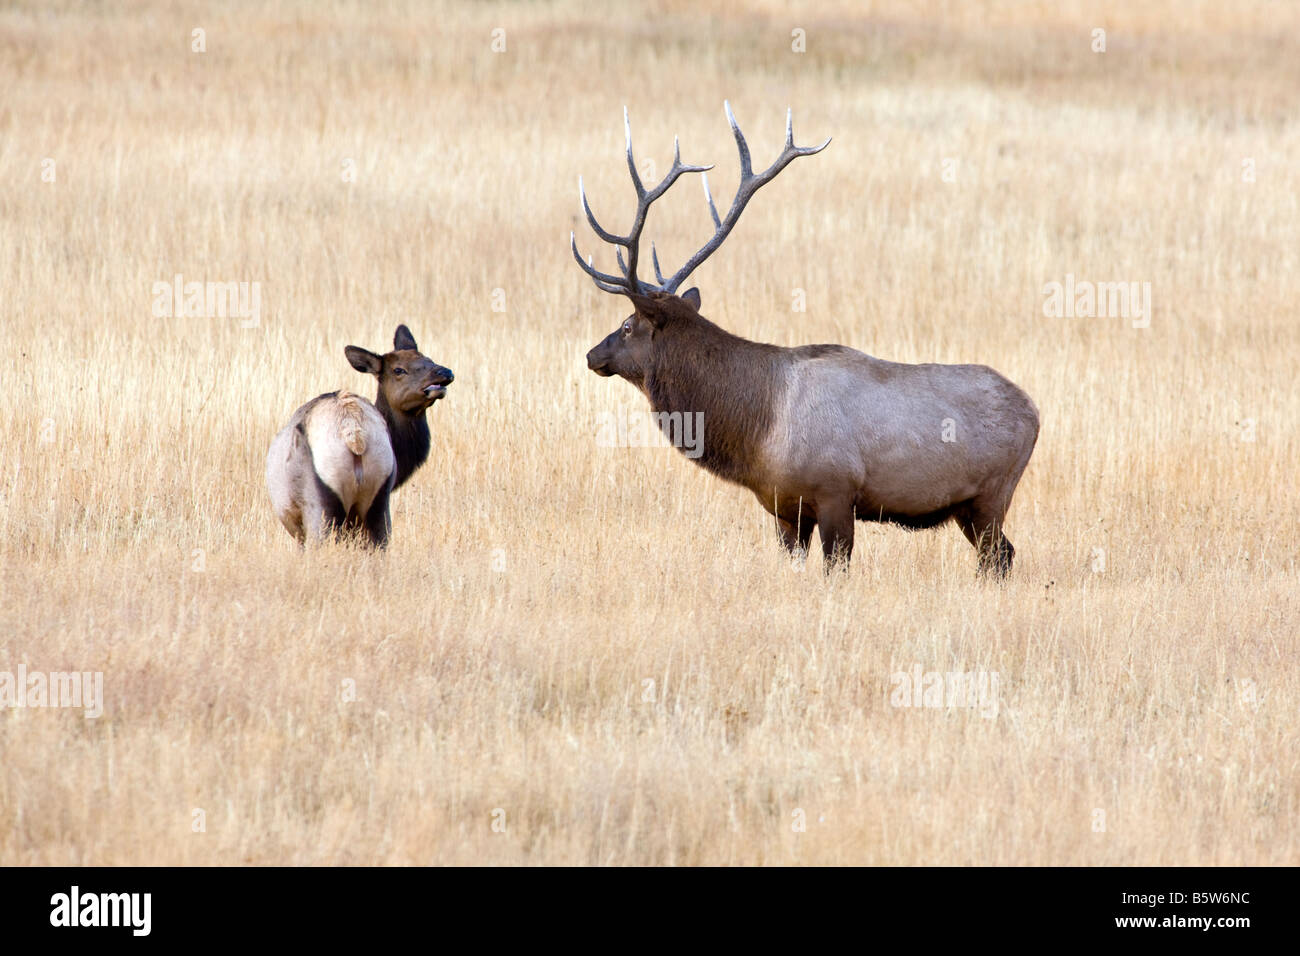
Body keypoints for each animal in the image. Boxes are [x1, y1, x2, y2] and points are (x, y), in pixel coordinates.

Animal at [263, 325, 452, 546]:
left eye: (428, 359)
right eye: (398, 369)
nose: (444, 372)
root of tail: (353, 431)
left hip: (321, 505)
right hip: (378, 495)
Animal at [574, 108, 1040, 580]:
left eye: (627, 325)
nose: (593, 355)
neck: (757, 431)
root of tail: (1034, 412)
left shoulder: (836, 491)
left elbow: (837, 567)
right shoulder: (784, 509)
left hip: (991, 495)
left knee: (1000, 555)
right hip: (968, 508)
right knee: (1003, 554)